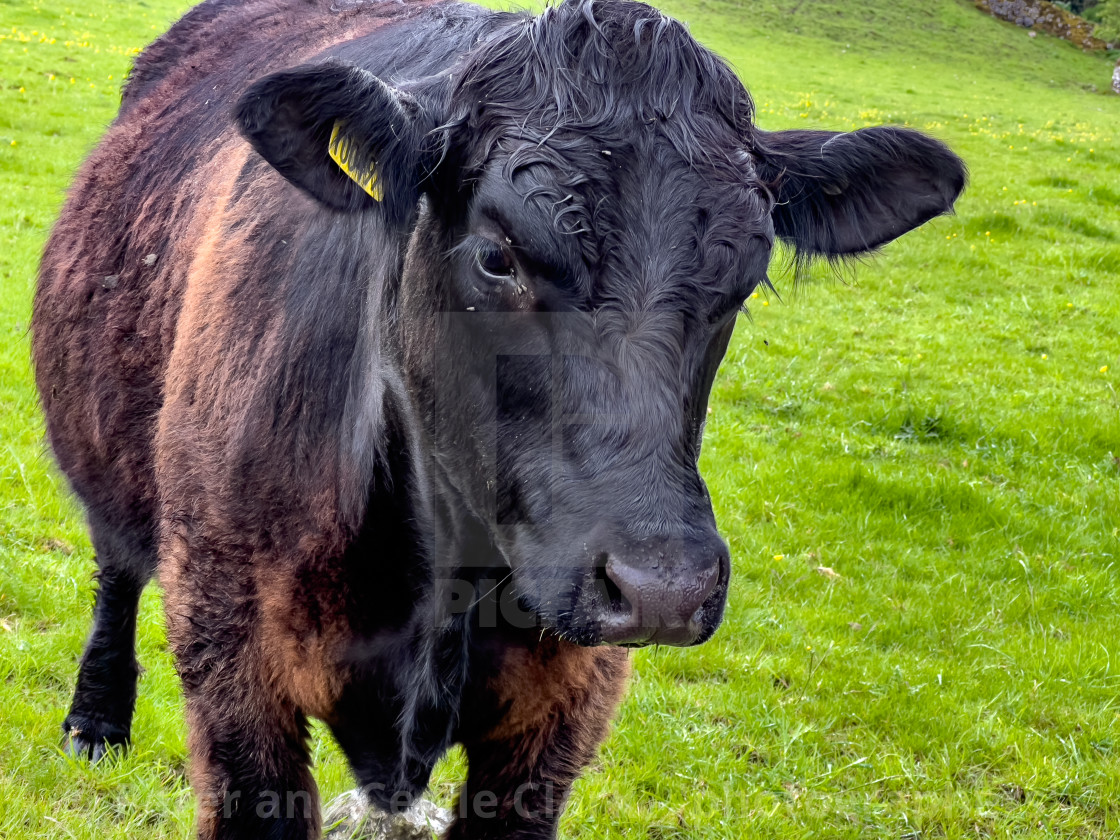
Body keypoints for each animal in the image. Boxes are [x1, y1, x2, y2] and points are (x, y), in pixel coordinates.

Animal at [32, 0, 963, 837]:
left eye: (746, 276)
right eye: (494, 256)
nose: (665, 588)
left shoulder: (562, 713)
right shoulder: (233, 666)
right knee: (116, 572)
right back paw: (96, 722)